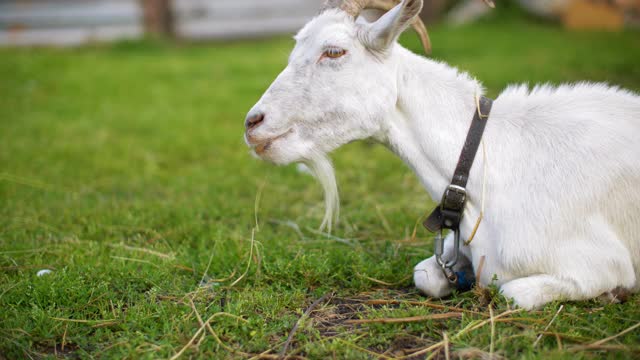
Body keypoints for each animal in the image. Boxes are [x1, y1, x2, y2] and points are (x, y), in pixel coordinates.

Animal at [245, 0, 640, 310]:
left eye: (334, 51)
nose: (252, 123)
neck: (484, 161)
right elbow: (424, 274)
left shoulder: (599, 261)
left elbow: (513, 293)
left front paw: (614, 292)